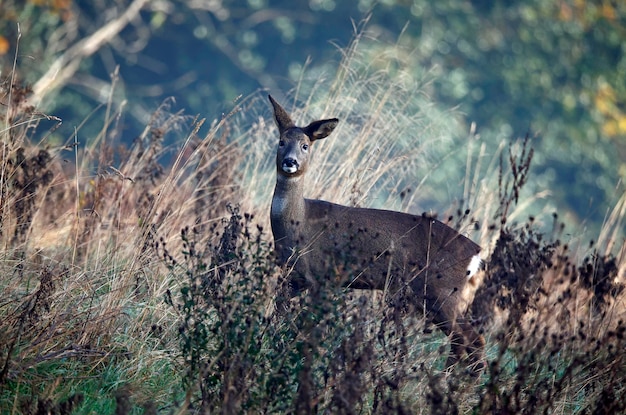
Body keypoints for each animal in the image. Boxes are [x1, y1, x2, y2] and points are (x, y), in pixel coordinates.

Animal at [266, 95, 486, 374]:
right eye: (281, 141)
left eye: (305, 145)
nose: (290, 162)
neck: (299, 224)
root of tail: (477, 256)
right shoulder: (292, 277)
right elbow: (278, 316)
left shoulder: (319, 276)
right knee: (466, 342)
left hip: (442, 291)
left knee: (469, 340)